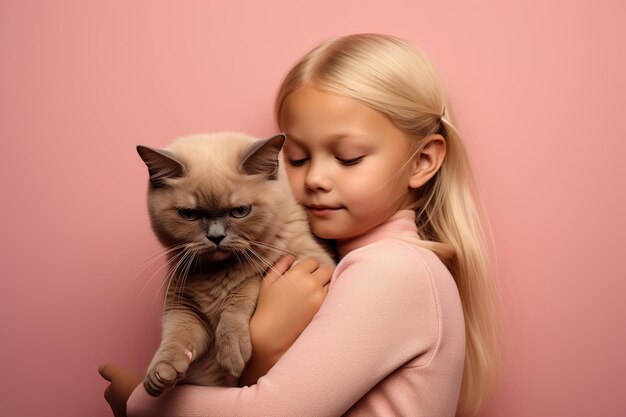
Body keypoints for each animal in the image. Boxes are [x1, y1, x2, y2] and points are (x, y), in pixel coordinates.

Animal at [135, 132, 334, 394]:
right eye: (190, 215)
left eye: (240, 211)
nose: (216, 237)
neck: (218, 271)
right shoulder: (183, 306)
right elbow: (177, 337)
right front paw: (160, 375)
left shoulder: (308, 261)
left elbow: (244, 288)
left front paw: (231, 353)